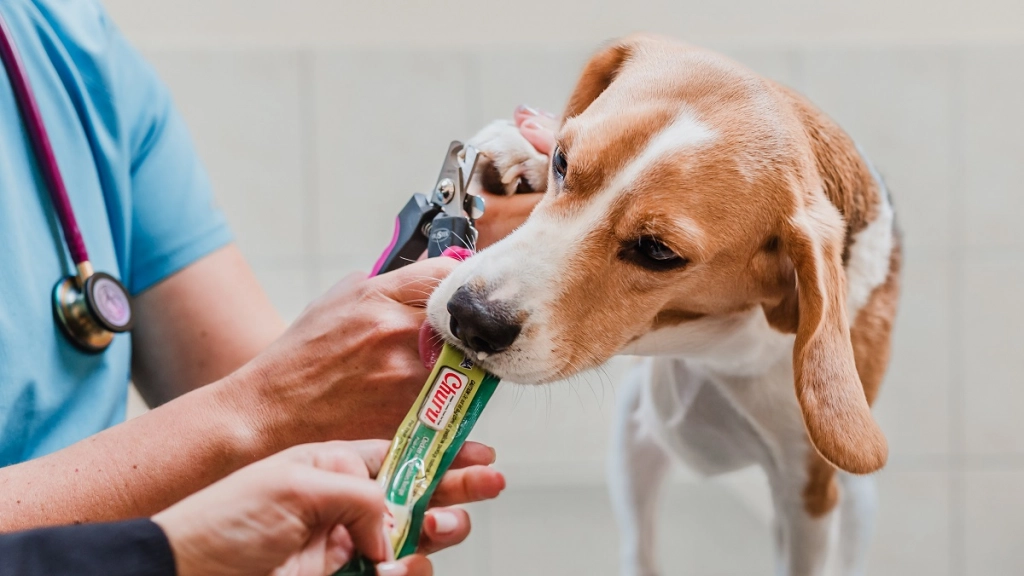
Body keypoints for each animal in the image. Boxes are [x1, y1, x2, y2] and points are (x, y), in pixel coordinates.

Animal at [428, 33, 901, 569]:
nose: (472, 319)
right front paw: (519, 151)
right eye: (562, 162)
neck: (718, 353)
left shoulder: (808, 493)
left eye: (658, 252)